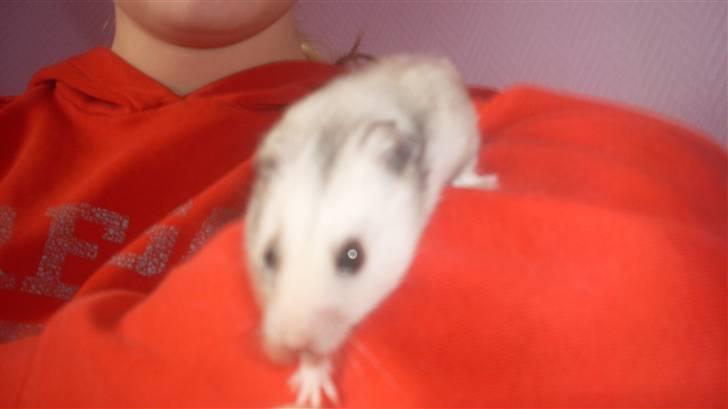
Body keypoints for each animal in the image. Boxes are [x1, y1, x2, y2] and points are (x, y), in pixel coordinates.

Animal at [244, 55, 497, 407]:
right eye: (268, 256)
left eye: (354, 256)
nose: (292, 343)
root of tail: (432, 59)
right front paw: (309, 394)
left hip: (467, 137)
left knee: (468, 167)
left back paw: (482, 184)